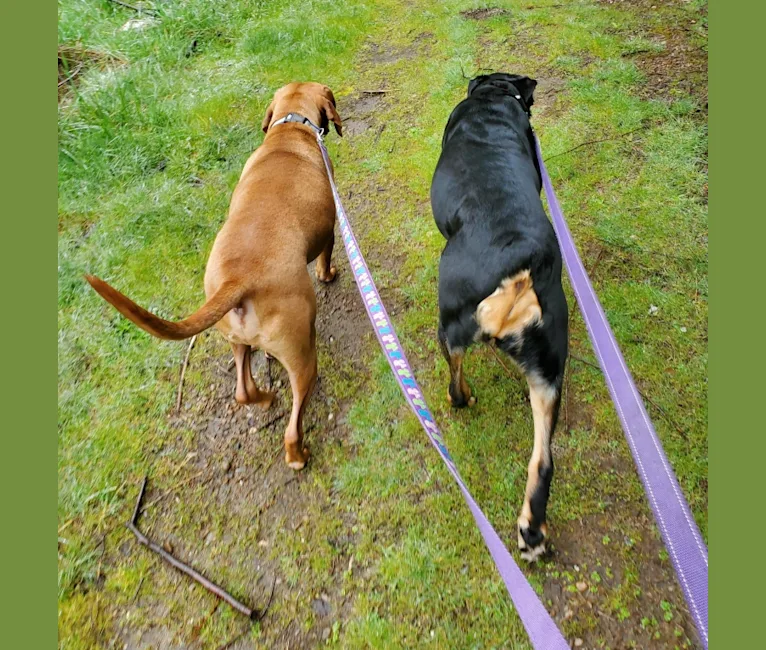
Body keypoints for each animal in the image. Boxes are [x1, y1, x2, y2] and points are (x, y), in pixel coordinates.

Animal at [85, 81, 344, 468]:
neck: (290, 129)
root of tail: (239, 280)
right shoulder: (329, 231)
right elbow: (325, 260)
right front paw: (329, 275)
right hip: (303, 360)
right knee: (292, 424)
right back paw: (298, 454)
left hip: (238, 342)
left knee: (244, 391)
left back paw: (266, 398)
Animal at [432, 69, 568, 556]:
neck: (493, 99)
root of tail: (523, 265)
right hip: (549, 370)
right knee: (544, 459)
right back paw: (532, 530)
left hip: (449, 324)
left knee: (455, 380)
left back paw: (463, 398)